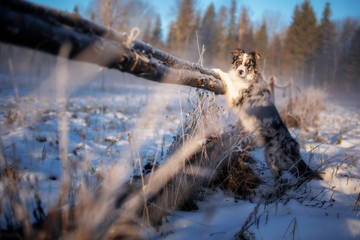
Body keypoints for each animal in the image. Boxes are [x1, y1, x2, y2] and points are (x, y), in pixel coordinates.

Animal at [211, 48, 320, 182]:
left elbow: (229, 79)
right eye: (239, 61)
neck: (246, 78)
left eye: (248, 64)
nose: (240, 71)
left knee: (283, 178)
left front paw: (217, 70)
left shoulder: (236, 96)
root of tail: (293, 146)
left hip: (274, 159)